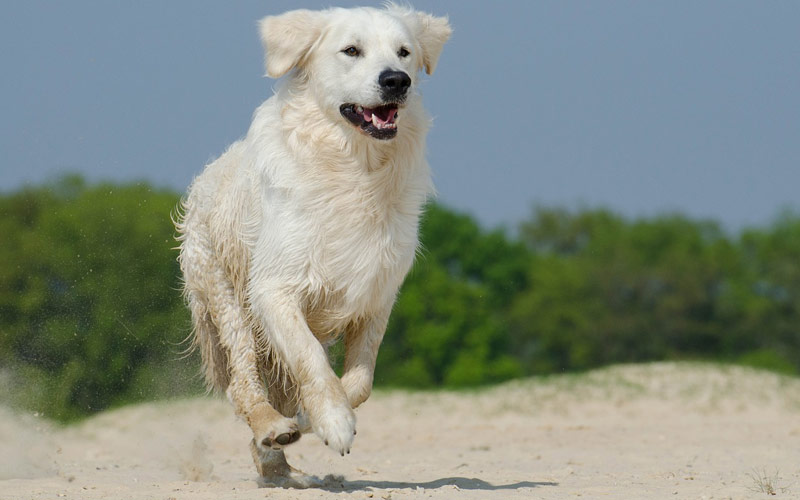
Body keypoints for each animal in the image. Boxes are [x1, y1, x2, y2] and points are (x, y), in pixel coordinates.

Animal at [176, 5, 450, 486]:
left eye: (404, 52)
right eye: (351, 50)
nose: (396, 80)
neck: (355, 168)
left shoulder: (377, 294)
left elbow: (359, 381)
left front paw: (315, 418)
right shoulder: (275, 289)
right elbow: (311, 362)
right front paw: (334, 423)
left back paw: (281, 465)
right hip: (226, 296)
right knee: (243, 381)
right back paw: (271, 428)